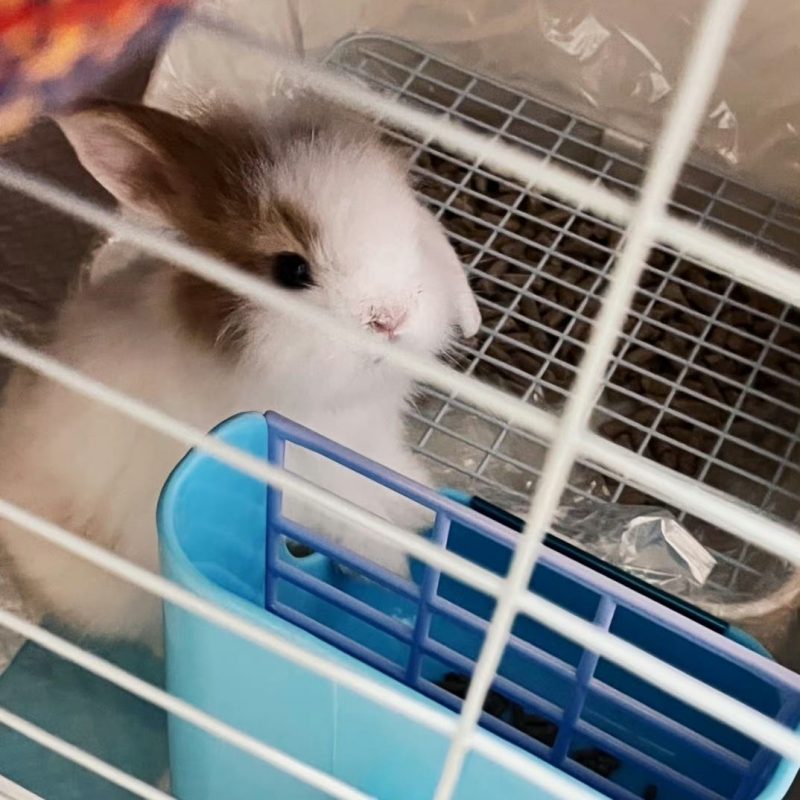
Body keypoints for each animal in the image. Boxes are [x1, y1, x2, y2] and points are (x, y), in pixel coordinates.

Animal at [0, 98, 480, 647]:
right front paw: (395, 566)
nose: (391, 319)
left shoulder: (373, 442)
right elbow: (353, 519)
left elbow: (394, 480)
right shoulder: (309, 482)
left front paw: (424, 513)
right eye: (291, 270)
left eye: (411, 228)